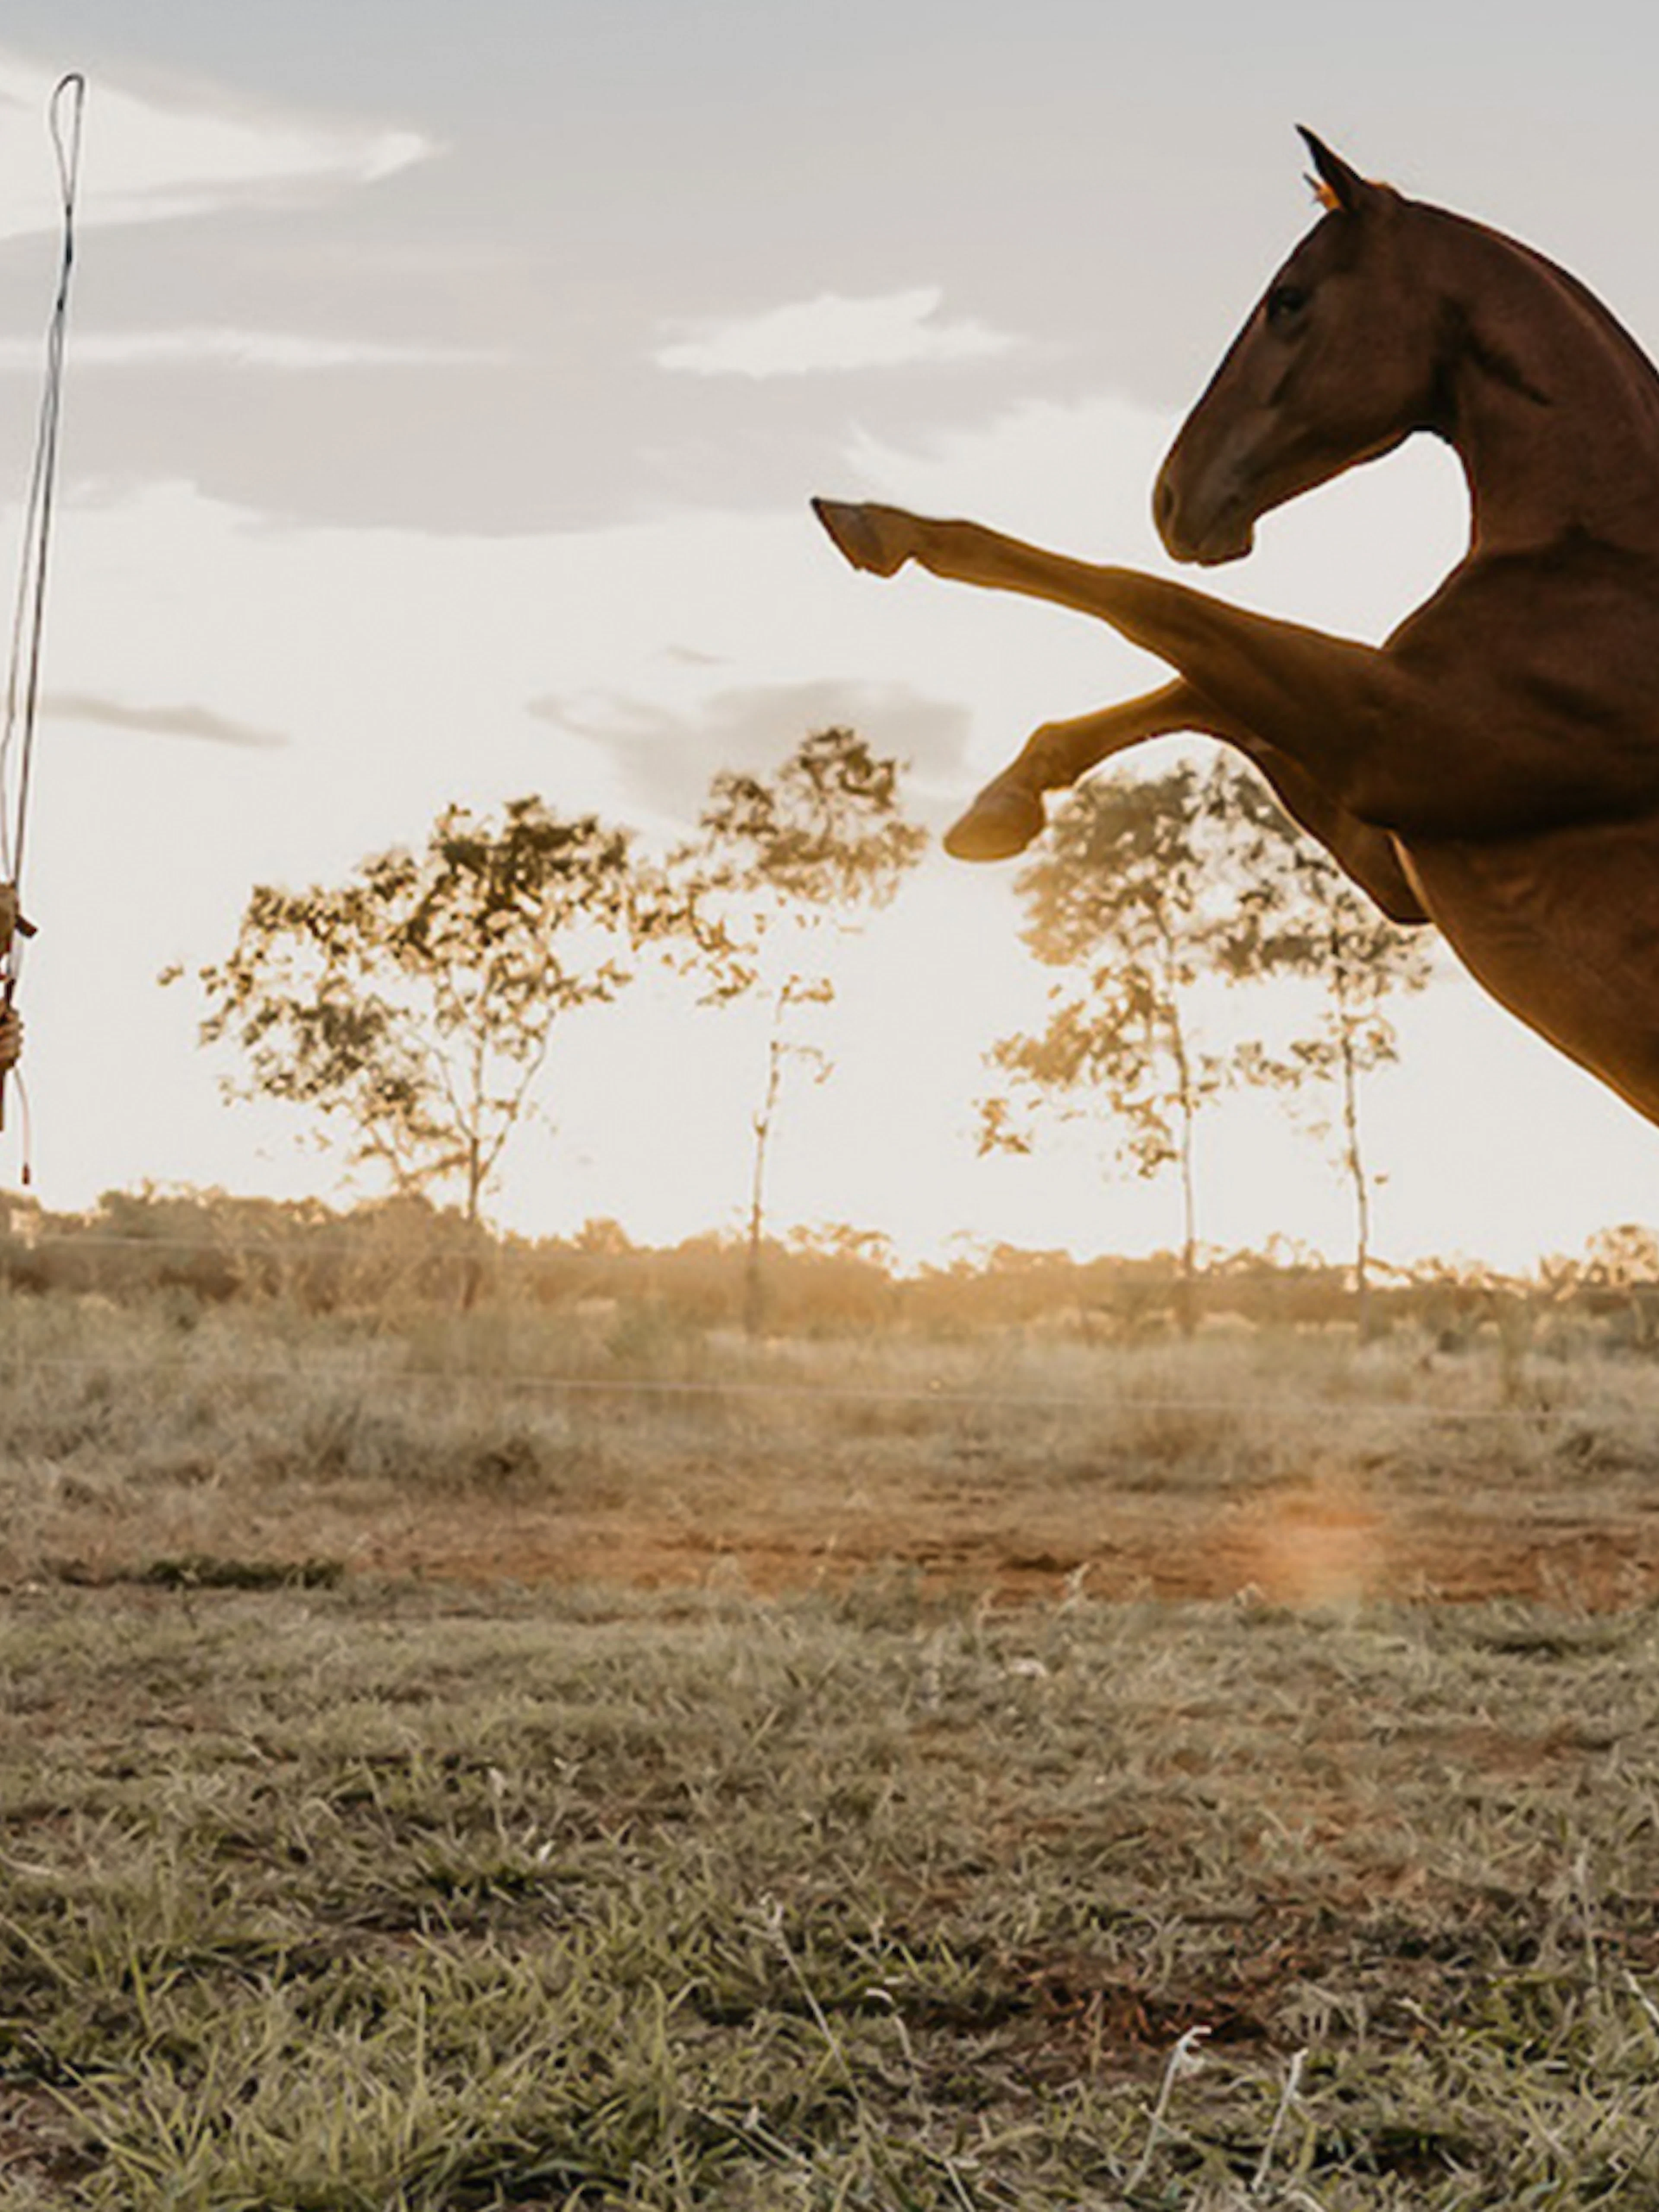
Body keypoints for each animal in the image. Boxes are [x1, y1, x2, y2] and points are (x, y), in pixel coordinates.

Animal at [813, 131, 1659, 1131]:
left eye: (1288, 299)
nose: (1172, 499)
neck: (1599, 561)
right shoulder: (1385, 850)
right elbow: (1195, 688)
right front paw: (1006, 800)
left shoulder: (1393, 743)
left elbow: (1144, 601)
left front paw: (880, 526)